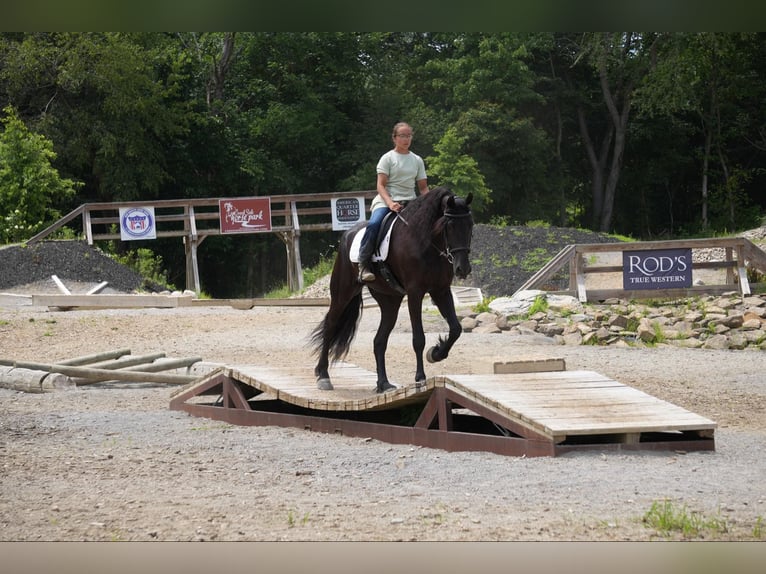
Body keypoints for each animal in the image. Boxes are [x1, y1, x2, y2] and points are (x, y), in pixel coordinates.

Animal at [310, 186, 474, 393]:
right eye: (449, 226)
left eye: (470, 225)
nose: (463, 269)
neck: (427, 241)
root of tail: (347, 235)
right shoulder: (415, 293)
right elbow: (418, 339)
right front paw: (420, 378)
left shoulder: (441, 291)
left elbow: (456, 328)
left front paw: (436, 353)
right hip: (342, 293)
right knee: (330, 324)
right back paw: (323, 375)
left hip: (390, 301)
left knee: (379, 341)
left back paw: (383, 384)